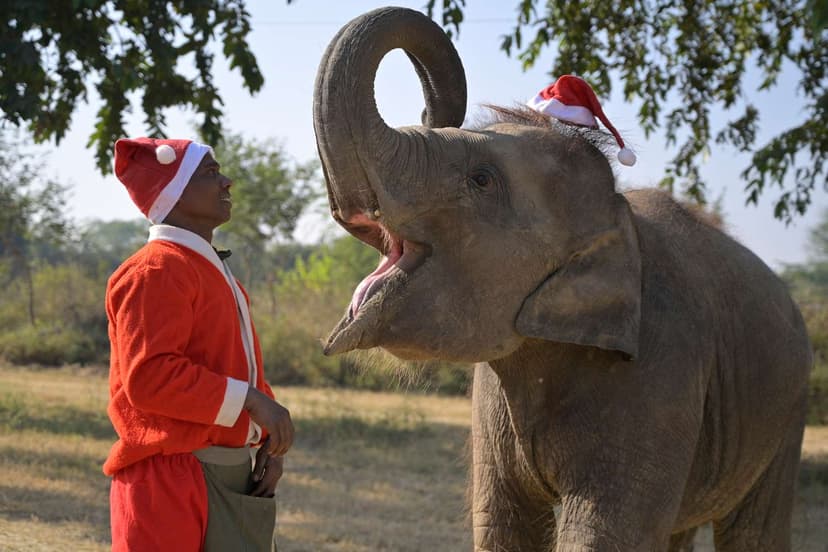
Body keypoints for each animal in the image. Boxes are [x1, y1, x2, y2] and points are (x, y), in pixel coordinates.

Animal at [312, 7, 813, 551]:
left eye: (481, 179)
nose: (431, 111)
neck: (617, 214)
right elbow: (502, 527)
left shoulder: (663, 367)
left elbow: (601, 533)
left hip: (789, 409)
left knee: (755, 527)